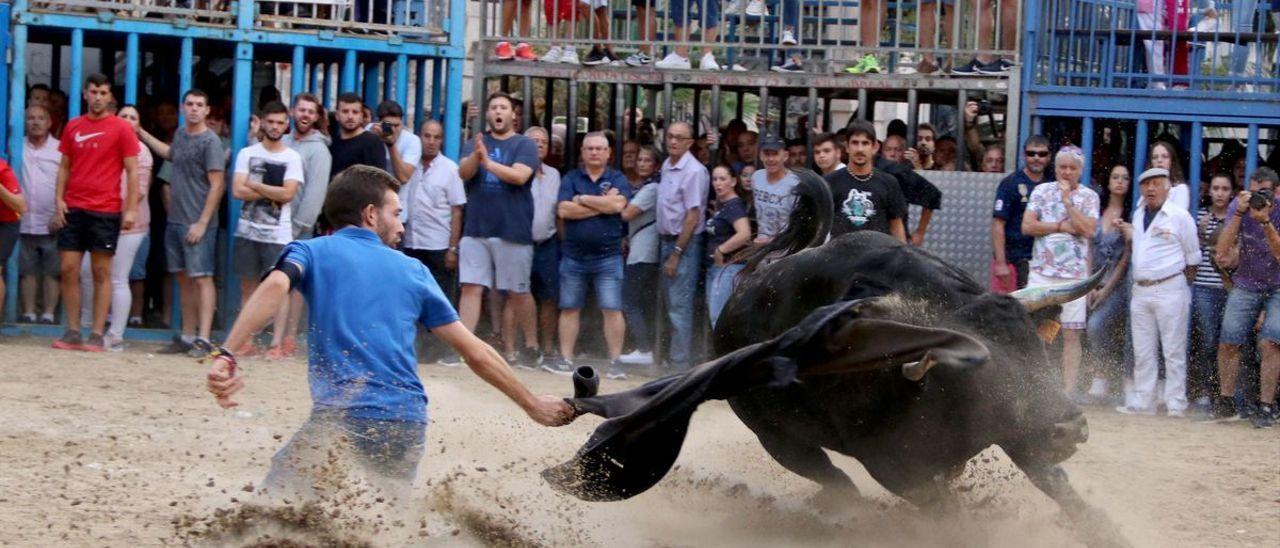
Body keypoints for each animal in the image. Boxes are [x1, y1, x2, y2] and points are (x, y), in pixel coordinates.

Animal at [545, 169, 1126, 545]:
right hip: (782, 440)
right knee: (837, 484)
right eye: (984, 371)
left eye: (1037, 350)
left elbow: (1066, 493)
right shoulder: (895, 468)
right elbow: (948, 512)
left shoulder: (1018, 431)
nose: (1069, 428)